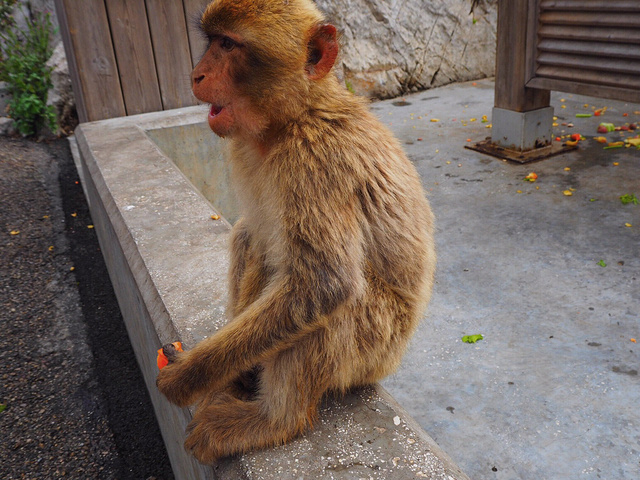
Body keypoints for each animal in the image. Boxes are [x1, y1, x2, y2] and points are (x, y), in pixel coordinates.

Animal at [156, 0, 436, 464]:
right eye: (212, 41)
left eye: (228, 45)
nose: (196, 75)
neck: (293, 117)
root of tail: (395, 357)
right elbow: (261, 242)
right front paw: (229, 373)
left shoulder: (316, 161)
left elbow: (324, 284)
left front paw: (190, 377)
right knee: (249, 236)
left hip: (374, 348)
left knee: (332, 302)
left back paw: (276, 421)